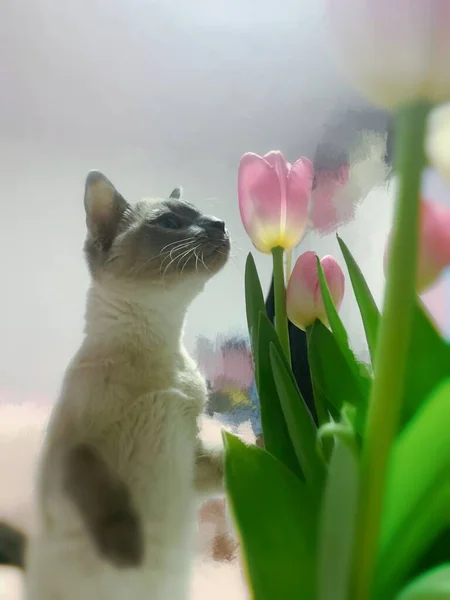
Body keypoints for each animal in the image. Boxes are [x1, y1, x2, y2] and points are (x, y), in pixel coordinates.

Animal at [23, 170, 230, 600]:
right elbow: (111, 501)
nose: (221, 224)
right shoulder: (75, 449)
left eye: (203, 215)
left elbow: (230, 458)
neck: (157, 340)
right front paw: (129, 551)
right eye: (170, 222)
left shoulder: (192, 456)